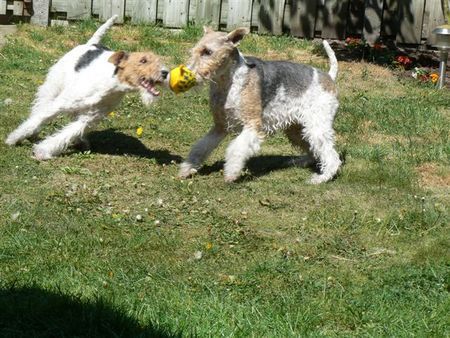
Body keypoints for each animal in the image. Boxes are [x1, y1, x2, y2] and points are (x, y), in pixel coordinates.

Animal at [6, 16, 168, 162]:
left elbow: (66, 134)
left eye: (159, 60)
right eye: (143, 60)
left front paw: (43, 151)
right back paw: (33, 133)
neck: (110, 85)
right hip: (52, 87)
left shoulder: (88, 119)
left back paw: (81, 142)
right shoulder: (60, 104)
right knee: (38, 109)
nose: (165, 73)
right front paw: (13, 139)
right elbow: (36, 120)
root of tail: (91, 44)